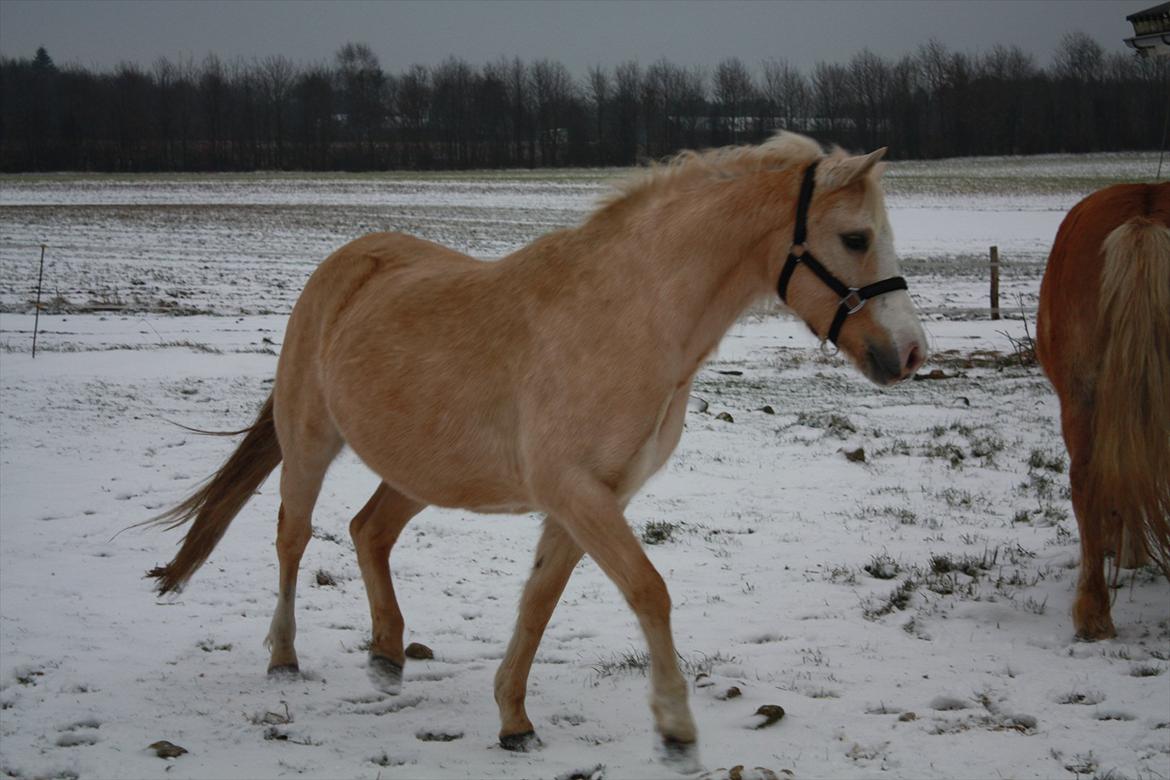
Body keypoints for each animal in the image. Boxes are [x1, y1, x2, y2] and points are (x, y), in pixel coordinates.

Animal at [146, 132, 926, 767]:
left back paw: (388, 654)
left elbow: (539, 603)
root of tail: (345, 263)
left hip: (421, 468)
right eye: (856, 238)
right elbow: (648, 589)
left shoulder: (590, 500)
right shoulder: (575, 493)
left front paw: (514, 721)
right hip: (312, 440)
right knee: (293, 536)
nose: (911, 354)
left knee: (369, 531)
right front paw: (675, 729)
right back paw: (284, 658)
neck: (627, 318)